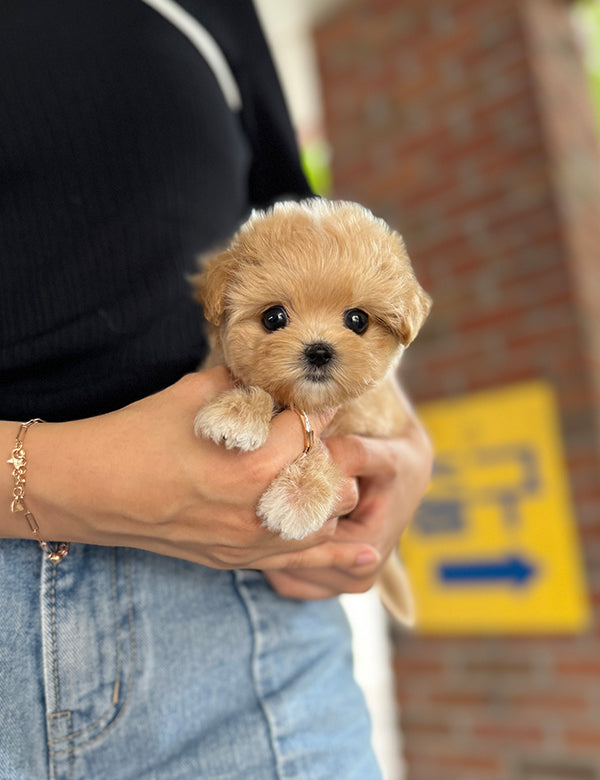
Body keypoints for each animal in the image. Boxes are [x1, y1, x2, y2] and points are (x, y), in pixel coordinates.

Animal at [190, 198, 428, 624]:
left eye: (357, 320)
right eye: (273, 318)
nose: (318, 351)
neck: (306, 401)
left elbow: (322, 449)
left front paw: (298, 496)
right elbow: (258, 388)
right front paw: (237, 412)